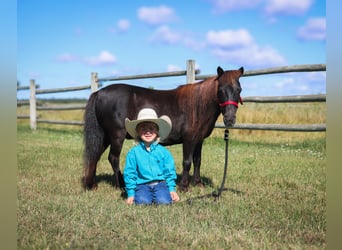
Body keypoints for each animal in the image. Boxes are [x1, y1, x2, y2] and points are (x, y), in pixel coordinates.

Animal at [82, 66, 243, 191]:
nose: (230, 119)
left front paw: (198, 184)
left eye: (239, 90)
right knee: (113, 158)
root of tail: (98, 93)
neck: (197, 105)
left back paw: (91, 185)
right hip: (116, 135)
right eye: (221, 90)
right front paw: (184, 186)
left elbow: (197, 160)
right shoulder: (189, 139)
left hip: (105, 135)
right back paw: (122, 186)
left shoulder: (199, 139)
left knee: (95, 155)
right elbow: (187, 162)